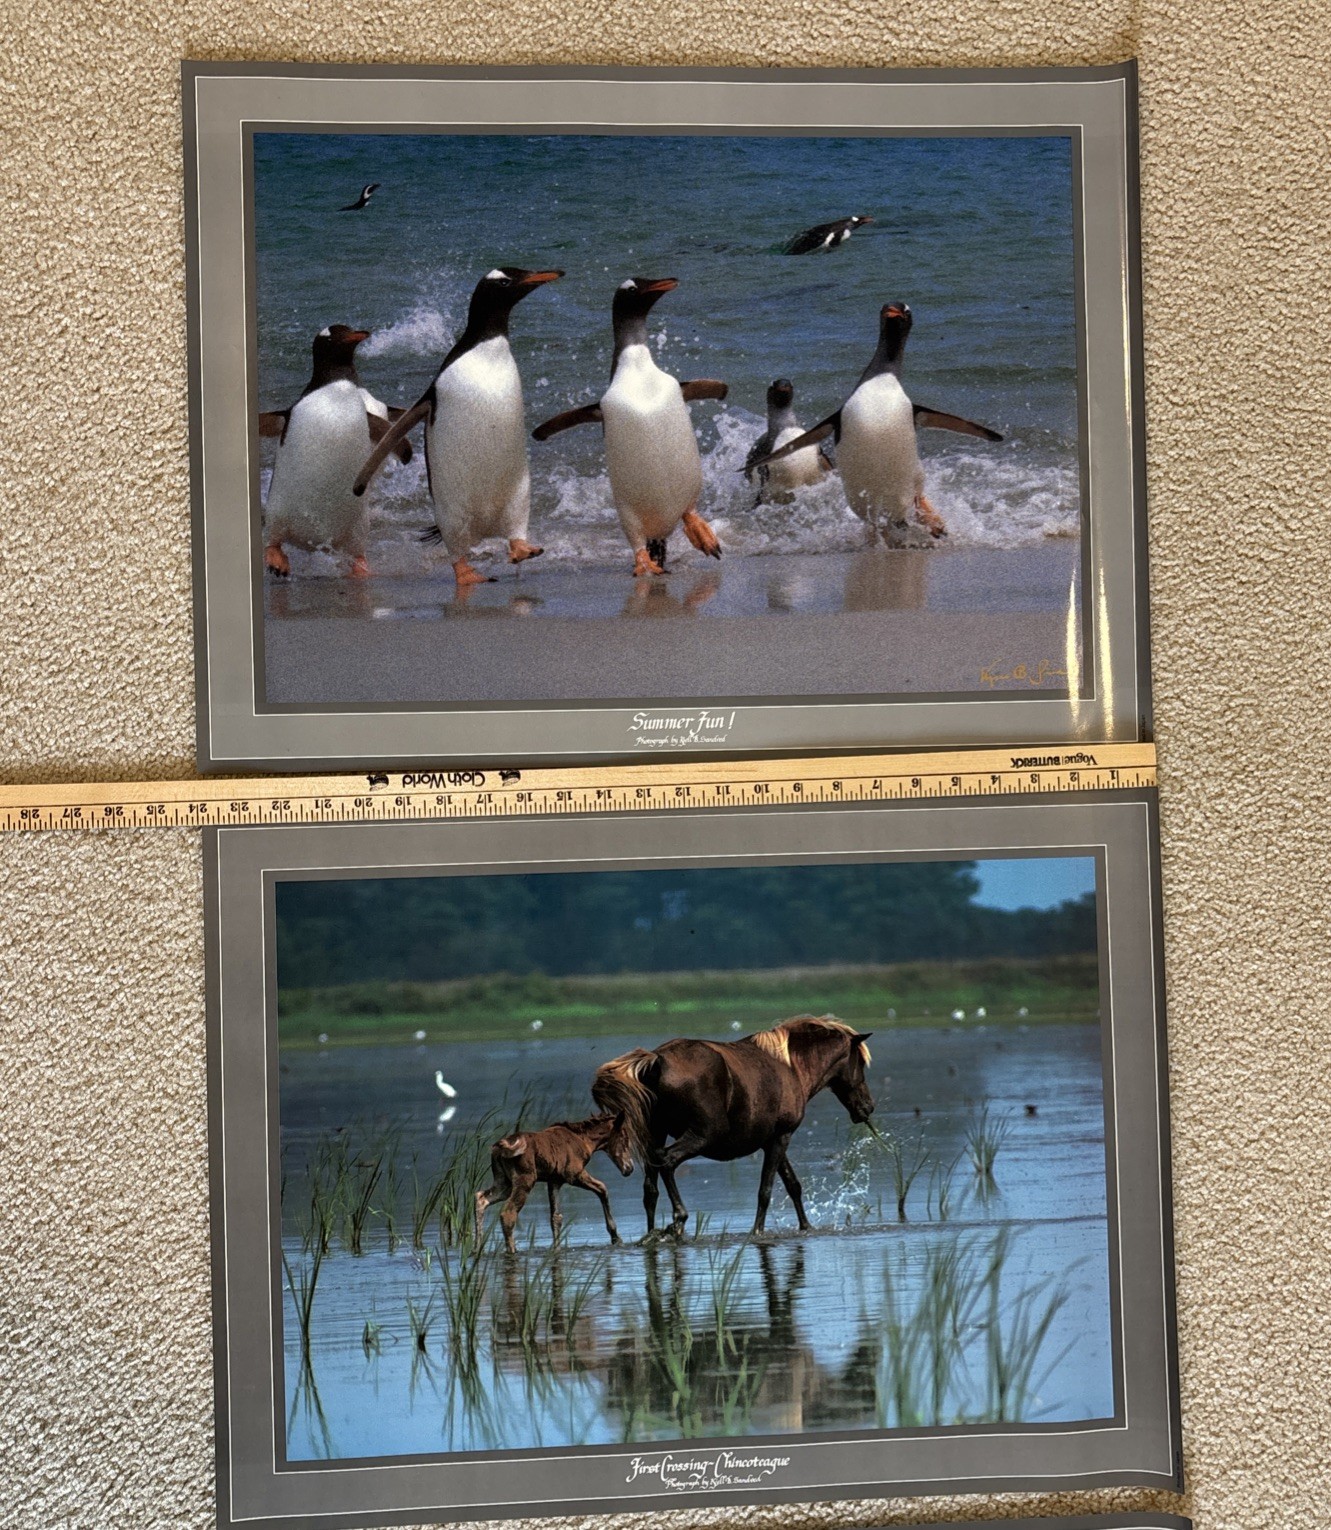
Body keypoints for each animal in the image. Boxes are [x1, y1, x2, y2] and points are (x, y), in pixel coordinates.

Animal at [474, 1112, 633, 1253]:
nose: (629, 1168)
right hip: (525, 1180)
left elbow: (556, 1218)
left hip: (504, 1183)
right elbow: (602, 1188)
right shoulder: (574, 1175)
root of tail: (499, 1148)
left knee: (480, 1198)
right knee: (508, 1213)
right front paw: (616, 1238)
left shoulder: (554, 1181)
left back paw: (476, 1250)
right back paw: (512, 1250)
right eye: (624, 1138)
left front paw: (556, 1249)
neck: (585, 1141)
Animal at [592, 1015, 874, 1238]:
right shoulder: (781, 1137)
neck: (790, 1067)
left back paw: (652, 1233)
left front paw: (806, 1227)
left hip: (656, 1134)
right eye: (860, 1062)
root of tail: (657, 1060)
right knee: (667, 1162)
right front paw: (757, 1231)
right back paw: (678, 1219)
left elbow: (793, 1185)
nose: (868, 1107)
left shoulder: (772, 1140)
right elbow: (766, 1190)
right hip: (701, 1136)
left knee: (650, 1188)